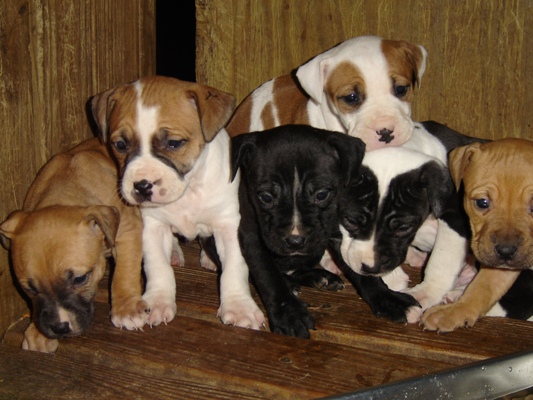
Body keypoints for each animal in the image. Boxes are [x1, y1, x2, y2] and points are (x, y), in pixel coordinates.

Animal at [0, 138, 145, 352]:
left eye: (79, 279)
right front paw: (38, 333)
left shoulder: (128, 231)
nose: (59, 327)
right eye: (29, 289)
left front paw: (126, 310)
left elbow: (123, 274)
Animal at [90, 76, 265, 330]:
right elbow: (158, 267)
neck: (188, 189)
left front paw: (238, 306)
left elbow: (234, 267)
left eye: (173, 143)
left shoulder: (229, 226)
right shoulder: (153, 226)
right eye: (120, 145)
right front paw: (158, 301)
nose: (142, 186)